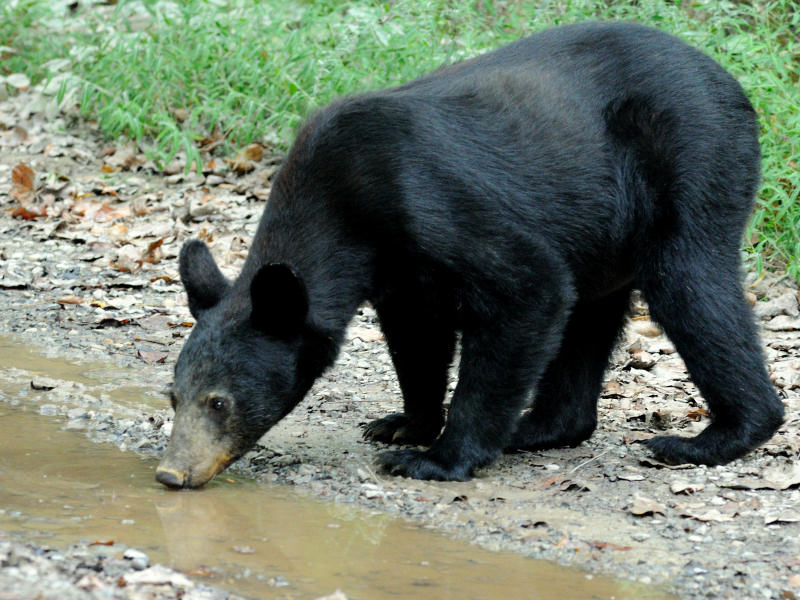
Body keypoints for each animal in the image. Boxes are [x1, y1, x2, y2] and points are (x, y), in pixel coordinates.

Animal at [155, 22, 780, 488]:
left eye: (218, 403)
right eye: (173, 397)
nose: (171, 473)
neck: (340, 201)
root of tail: (731, 85)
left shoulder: (432, 203)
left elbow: (530, 288)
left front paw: (436, 458)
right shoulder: (398, 270)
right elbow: (417, 339)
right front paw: (404, 424)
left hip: (696, 162)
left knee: (692, 289)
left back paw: (714, 438)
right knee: (591, 317)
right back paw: (540, 428)